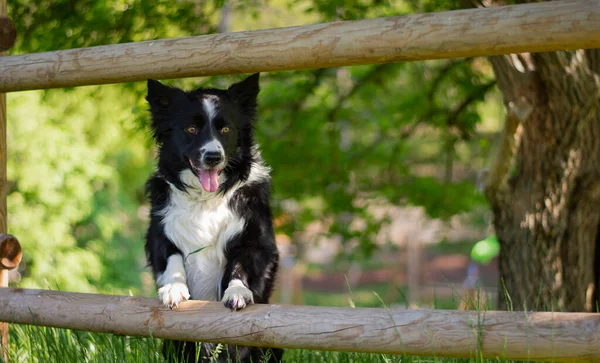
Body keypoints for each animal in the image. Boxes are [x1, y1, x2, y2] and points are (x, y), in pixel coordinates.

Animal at [144, 74, 282, 363]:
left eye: (226, 130)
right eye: (191, 129)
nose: (213, 156)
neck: (205, 199)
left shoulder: (257, 238)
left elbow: (242, 264)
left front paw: (238, 292)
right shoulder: (158, 232)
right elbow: (171, 255)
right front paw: (173, 288)